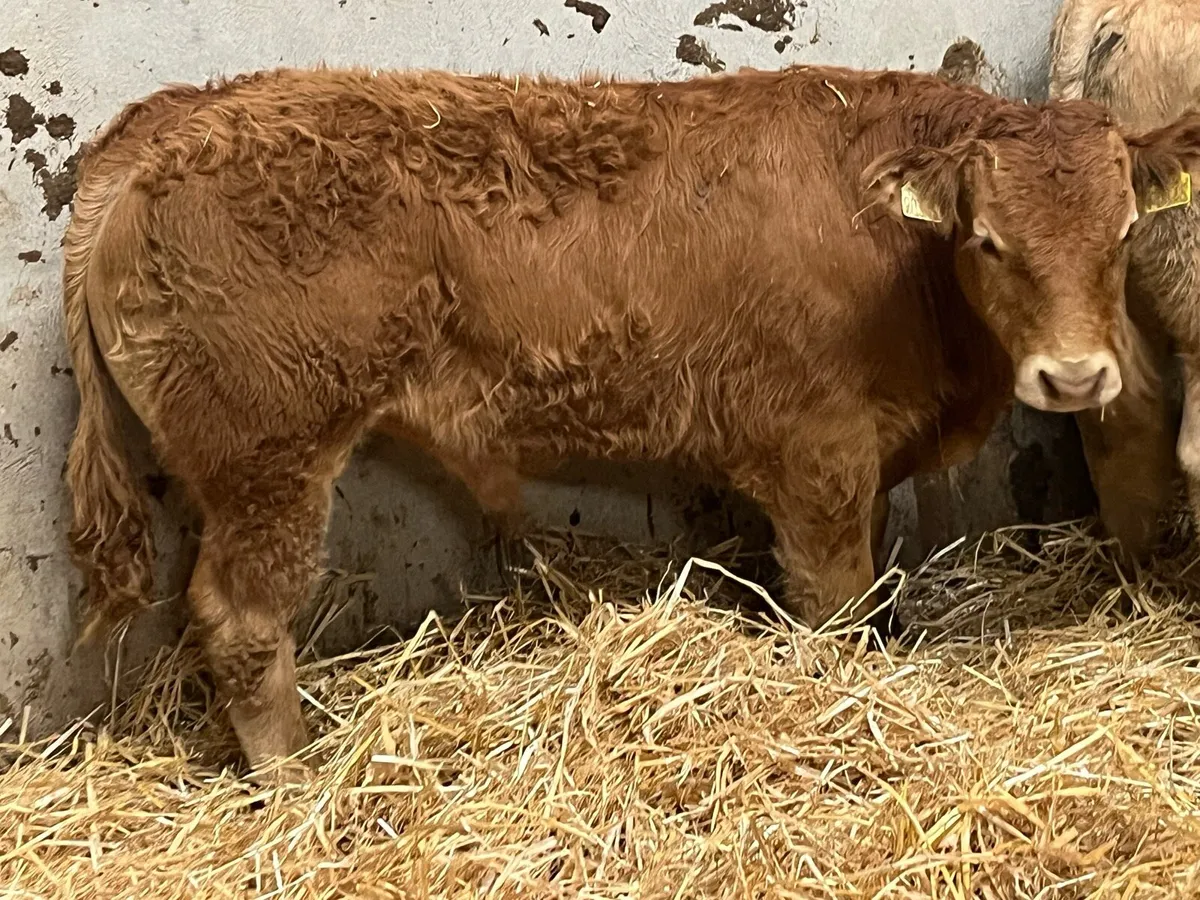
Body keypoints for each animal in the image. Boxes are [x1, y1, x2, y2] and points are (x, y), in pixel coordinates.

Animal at [63, 63, 1188, 773]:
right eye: (990, 240)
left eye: (1126, 229)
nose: (1077, 379)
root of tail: (169, 123)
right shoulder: (819, 456)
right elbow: (834, 608)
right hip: (270, 460)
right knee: (242, 623)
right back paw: (296, 784)